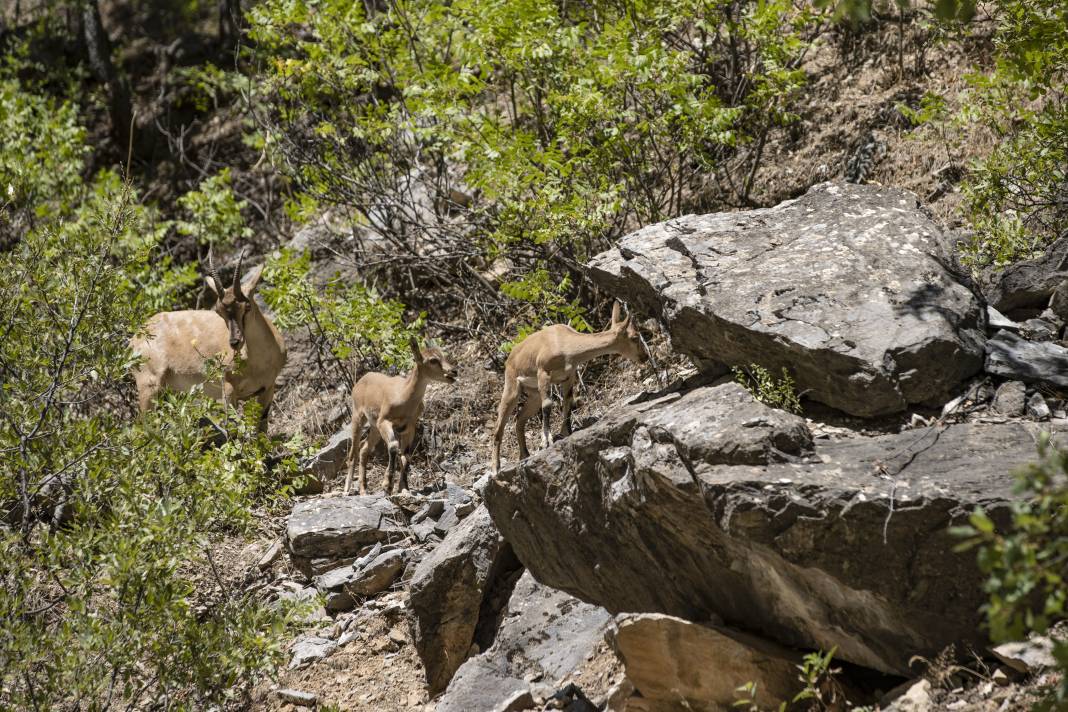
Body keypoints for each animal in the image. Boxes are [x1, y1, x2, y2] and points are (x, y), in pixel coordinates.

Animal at [128, 247, 286, 431]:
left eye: (247, 306)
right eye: (219, 311)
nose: (235, 342)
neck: (257, 363)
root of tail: (135, 338)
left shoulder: (267, 389)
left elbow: (260, 429)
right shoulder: (228, 390)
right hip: (149, 386)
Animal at [343, 339, 457, 495]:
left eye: (443, 356)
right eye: (433, 360)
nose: (453, 371)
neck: (405, 397)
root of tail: (359, 382)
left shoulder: (409, 427)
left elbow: (406, 455)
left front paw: (403, 487)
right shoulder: (384, 421)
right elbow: (393, 446)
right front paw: (387, 485)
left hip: (374, 427)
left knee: (364, 448)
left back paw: (363, 490)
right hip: (358, 417)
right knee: (352, 452)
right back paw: (347, 489)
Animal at [489, 301, 640, 473]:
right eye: (635, 337)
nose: (645, 356)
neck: (565, 344)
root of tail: (509, 358)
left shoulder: (569, 377)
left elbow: (568, 402)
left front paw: (566, 432)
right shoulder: (543, 373)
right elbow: (548, 404)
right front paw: (546, 442)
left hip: (533, 395)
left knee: (519, 419)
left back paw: (524, 455)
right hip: (512, 388)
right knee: (499, 425)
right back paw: (495, 468)